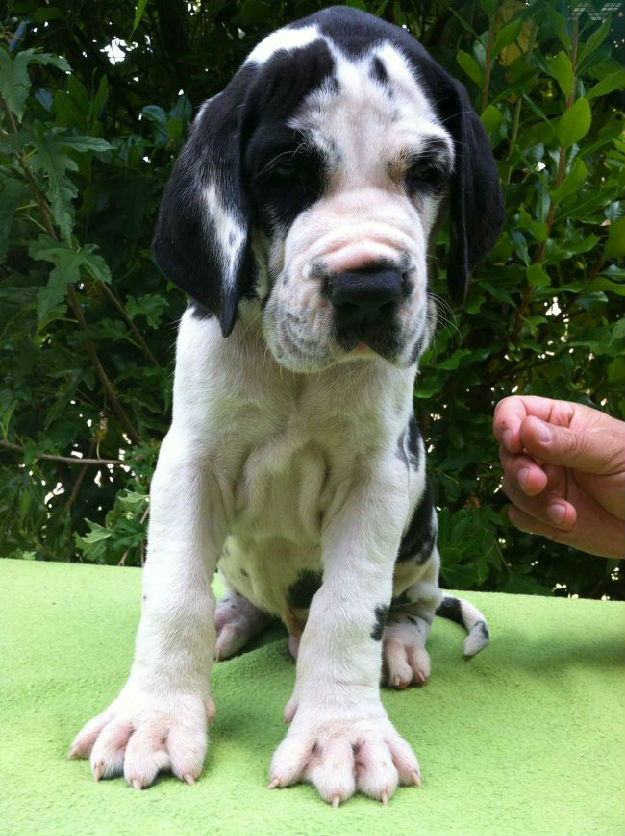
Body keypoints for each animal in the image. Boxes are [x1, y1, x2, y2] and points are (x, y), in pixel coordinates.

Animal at [70, 4, 504, 804]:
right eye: (284, 174)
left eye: (428, 173)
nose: (368, 288)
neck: (296, 376)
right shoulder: (189, 464)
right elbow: (171, 595)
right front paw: (154, 716)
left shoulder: (380, 479)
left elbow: (348, 607)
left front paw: (342, 732)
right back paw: (231, 621)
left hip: (423, 532)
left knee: (414, 603)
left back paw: (398, 647)